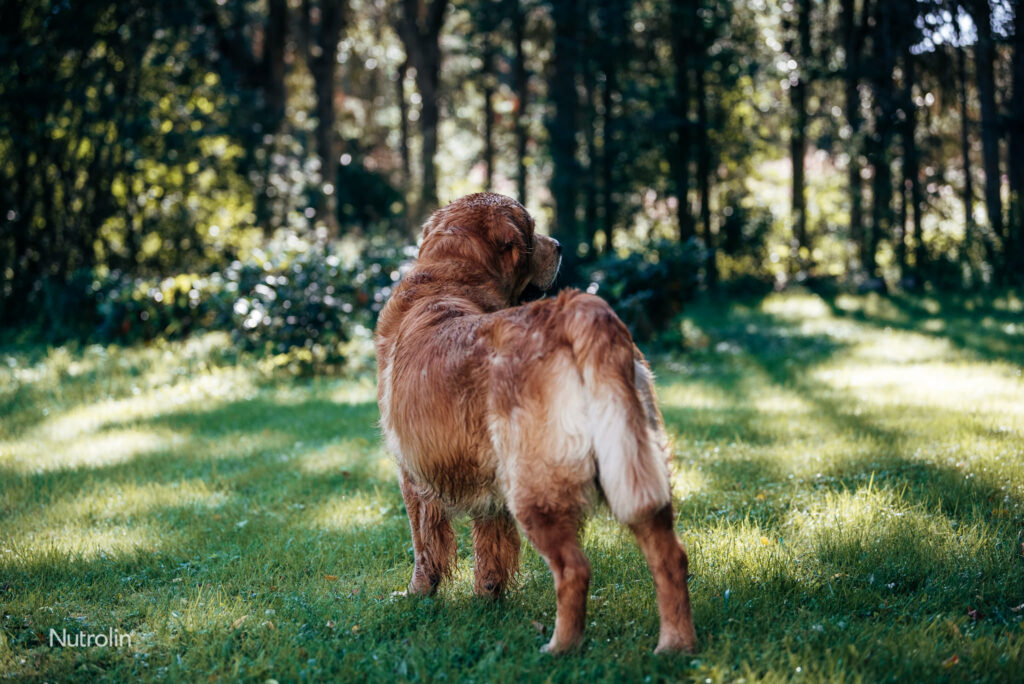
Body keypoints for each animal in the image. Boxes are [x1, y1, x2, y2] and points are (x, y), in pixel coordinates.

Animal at [374, 194, 696, 655]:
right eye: (531, 231)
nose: (559, 244)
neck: (449, 282)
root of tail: (578, 309)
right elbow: (490, 547)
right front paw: (487, 599)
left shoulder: (411, 475)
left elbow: (424, 545)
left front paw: (418, 594)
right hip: (633, 464)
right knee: (670, 554)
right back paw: (676, 644)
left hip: (534, 487)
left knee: (575, 568)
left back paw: (561, 646)